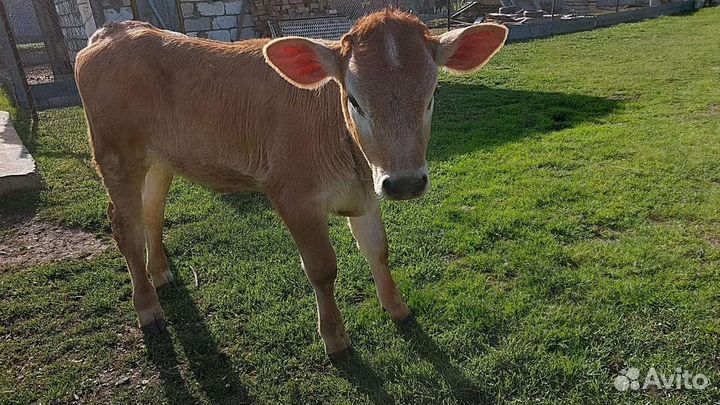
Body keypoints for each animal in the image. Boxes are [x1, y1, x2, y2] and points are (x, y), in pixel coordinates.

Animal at [75, 9, 508, 355]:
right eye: (353, 99)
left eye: (432, 93)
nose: (403, 183)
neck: (349, 154)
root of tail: (115, 30)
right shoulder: (293, 197)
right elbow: (322, 268)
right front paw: (334, 338)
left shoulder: (367, 195)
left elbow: (378, 251)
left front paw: (397, 308)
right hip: (116, 157)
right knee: (124, 227)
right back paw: (148, 307)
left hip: (159, 161)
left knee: (151, 212)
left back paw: (161, 272)